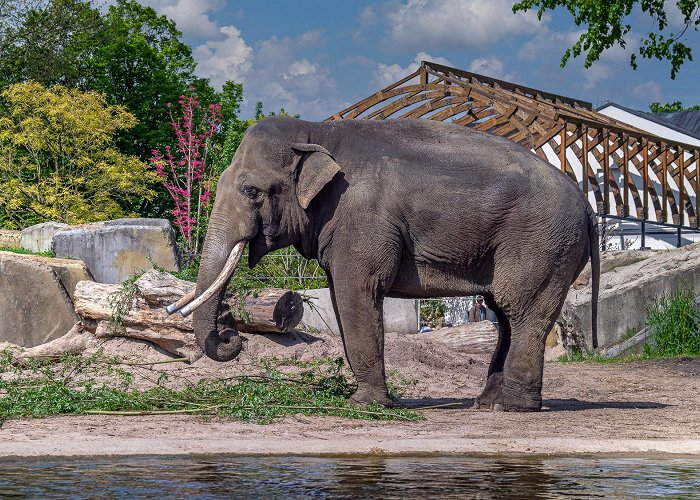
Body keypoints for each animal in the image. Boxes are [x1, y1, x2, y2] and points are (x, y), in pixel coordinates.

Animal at [178, 116, 600, 410]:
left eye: (251, 190)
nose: (231, 336)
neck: (315, 130)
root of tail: (588, 207)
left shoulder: (362, 220)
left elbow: (356, 290)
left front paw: (363, 405)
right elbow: (340, 296)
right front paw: (362, 397)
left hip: (541, 243)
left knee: (522, 310)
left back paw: (509, 408)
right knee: (507, 314)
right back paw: (485, 404)